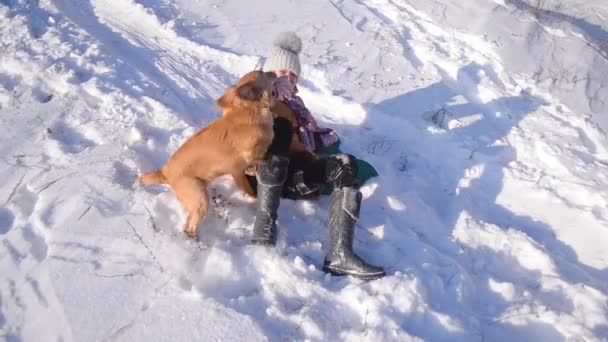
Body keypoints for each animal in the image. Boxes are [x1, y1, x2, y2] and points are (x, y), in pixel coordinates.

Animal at [137, 71, 276, 236]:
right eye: (263, 73)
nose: (274, 72)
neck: (250, 112)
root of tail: (165, 173)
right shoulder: (237, 169)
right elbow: (249, 183)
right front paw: (253, 194)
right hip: (200, 198)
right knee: (190, 226)